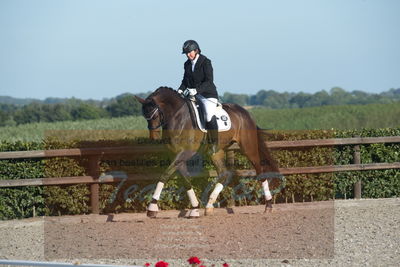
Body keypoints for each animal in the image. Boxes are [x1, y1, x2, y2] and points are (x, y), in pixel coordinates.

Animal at [136, 87, 280, 219]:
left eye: (154, 116)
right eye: (145, 117)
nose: (153, 138)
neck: (179, 118)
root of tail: (245, 112)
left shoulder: (186, 152)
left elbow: (165, 175)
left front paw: (152, 208)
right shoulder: (176, 155)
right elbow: (186, 180)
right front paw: (194, 209)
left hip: (248, 147)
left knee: (260, 171)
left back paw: (268, 205)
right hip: (216, 152)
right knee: (224, 173)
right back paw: (209, 206)